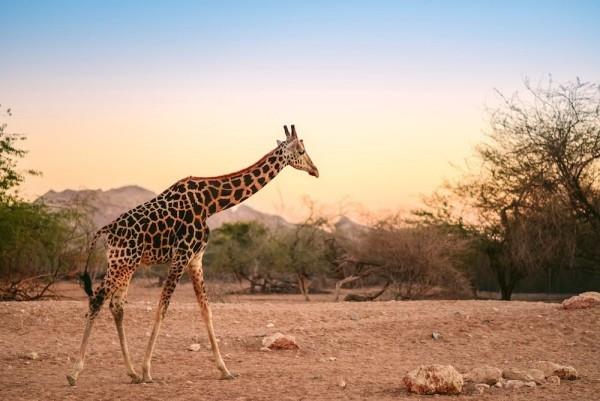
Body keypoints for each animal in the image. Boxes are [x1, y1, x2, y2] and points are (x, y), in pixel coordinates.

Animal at [65, 124, 318, 384]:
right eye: (301, 150)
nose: (315, 170)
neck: (211, 203)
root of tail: (106, 230)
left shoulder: (196, 258)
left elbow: (206, 310)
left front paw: (225, 370)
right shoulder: (182, 254)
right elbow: (162, 308)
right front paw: (147, 370)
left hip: (126, 265)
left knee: (116, 306)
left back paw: (131, 373)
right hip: (122, 262)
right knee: (97, 300)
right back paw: (76, 372)